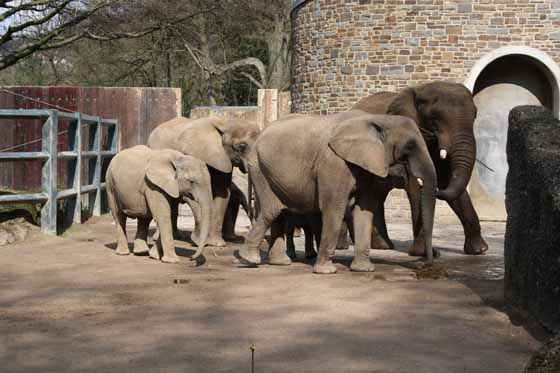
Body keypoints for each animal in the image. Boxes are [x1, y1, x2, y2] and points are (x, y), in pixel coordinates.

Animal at [147, 115, 260, 246]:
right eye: (241, 146)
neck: (225, 122)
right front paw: (200, 241)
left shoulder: (223, 158)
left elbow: (222, 192)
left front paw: (217, 244)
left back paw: (176, 236)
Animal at [238, 110, 440, 274]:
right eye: (410, 147)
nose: (428, 264)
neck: (378, 119)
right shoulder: (334, 163)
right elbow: (334, 208)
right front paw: (326, 271)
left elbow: (365, 210)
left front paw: (363, 270)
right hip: (258, 167)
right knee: (272, 210)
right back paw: (249, 259)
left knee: (279, 212)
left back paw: (280, 263)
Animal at [354, 81, 486, 256]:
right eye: (434, 118)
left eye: (475, 116)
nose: (436, 191)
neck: (419, 89)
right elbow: (416, 186)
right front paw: (423, 253)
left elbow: (449, 182)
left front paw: (479, 250)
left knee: (377, 193)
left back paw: (383, 246)